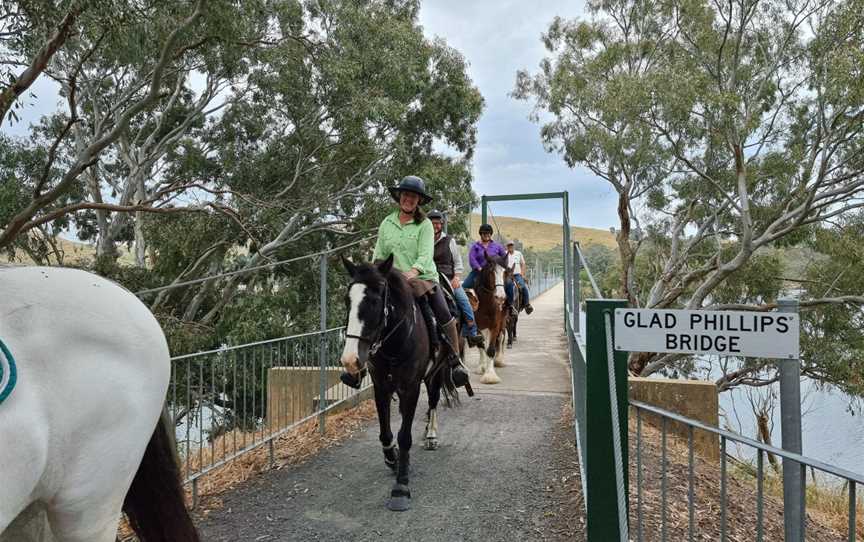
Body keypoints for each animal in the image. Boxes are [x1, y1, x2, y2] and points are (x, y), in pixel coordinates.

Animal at [338, 258, 460, 512]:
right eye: (347, 300)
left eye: (374, 301)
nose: (350, 360)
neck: (394, 341)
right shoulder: (381, 386)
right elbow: (386, 433)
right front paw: (392, 459)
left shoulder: (411, 387)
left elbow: (405, 436)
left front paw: (401, 487)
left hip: (436, 371)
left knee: (433, 399)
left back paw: (431, 435)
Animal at [470, 255, 510, 386]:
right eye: (492, 271)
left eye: (505, 272)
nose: (501, 297)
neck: (487, 303)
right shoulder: (478, 326)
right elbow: (481, 345)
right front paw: (482, 367)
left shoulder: (494, 325)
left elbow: (491, 349)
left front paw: (490, 376)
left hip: (503, 323)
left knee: (501, 338)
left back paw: (499, 360)